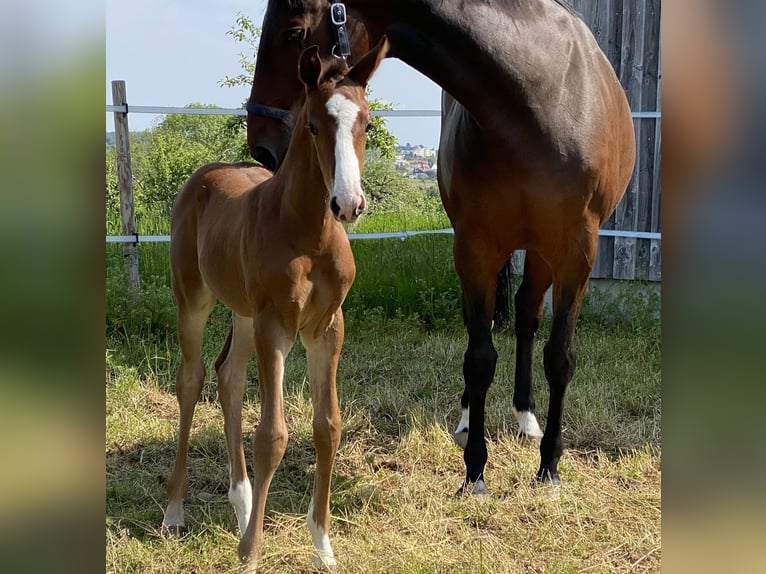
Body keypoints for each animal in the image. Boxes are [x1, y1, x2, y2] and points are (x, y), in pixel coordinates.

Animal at [162, 39, 388, 570]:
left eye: (367, 124)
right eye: (313, 126)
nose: (348, 203)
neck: (309, 234)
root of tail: (204, 176)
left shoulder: (326, 328)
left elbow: (328, 427)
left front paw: (322, 544)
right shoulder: (277, 327)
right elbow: (272, 435)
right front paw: (250, 552)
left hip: (245, 314)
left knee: (228, 377)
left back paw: (243, 505)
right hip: (195, 299)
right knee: (191, 380)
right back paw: (176, 510)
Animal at [247, 0, 636, 496]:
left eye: (293, 33)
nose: (260, 145)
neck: (539, 99)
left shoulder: (576, 250)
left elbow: (559, 357)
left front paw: (549, 467)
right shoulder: (474, 246)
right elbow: (480, 356)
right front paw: (475, 471)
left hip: (543, 252)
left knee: (528, 315)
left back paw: (526, 418)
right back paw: (472, 420)